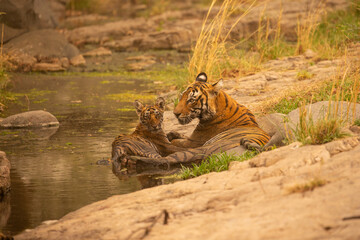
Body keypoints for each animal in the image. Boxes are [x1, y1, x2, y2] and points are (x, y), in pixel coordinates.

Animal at [126, 72, 270, 168]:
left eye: (191, 99)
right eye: (181, 96)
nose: (175, 113)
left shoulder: (193, 142)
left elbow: (176, 142)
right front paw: (171, 134)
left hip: (200, 149)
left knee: (167, 159)